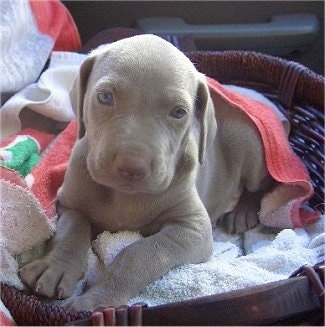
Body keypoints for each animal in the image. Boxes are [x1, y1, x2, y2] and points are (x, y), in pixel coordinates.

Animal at [19, 34, 284, 312]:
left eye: (179, 112)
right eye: (105, 97)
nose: (131, 166)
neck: (122, 196)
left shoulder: (193, 229)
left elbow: (141, 253)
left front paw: (98, 298)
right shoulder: (69, 203)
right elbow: (72, 229)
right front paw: (56, 266)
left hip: (247, 141)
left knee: (261, 186)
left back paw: (242, 212)